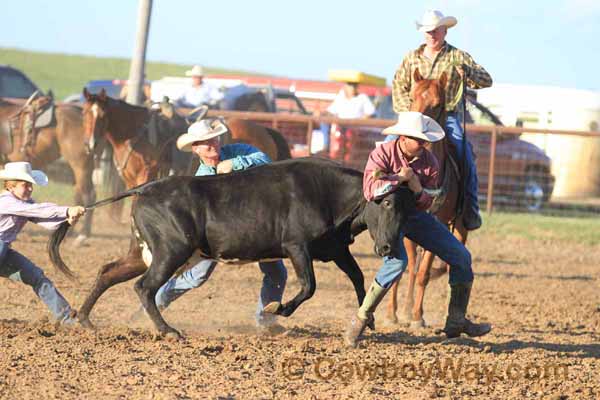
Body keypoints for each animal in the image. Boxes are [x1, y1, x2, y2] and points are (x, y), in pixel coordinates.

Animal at [384, 69, 468, 328]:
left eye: (438, 104)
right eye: (412, 98)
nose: (415, 133)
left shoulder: (439, 223)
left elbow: (425, 272)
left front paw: (418, 317)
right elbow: (407, 269)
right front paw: (393, 313)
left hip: (460, 226)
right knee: (412, 267)